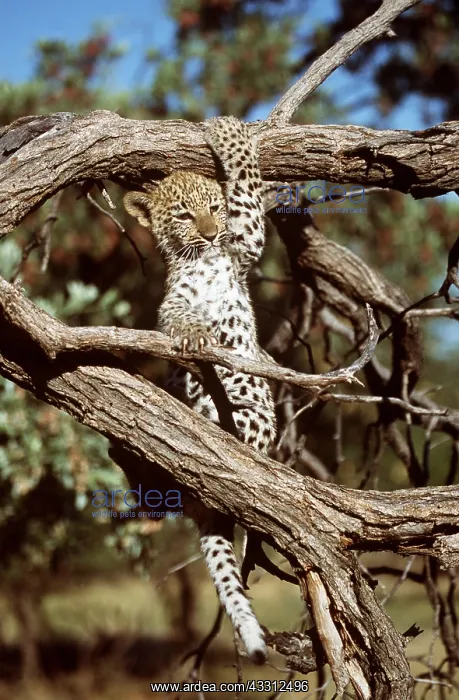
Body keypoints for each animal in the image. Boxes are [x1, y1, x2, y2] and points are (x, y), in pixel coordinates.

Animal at [124, 116, 276, 664]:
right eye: (185, 216)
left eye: (213, 207)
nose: (211, 235)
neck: (205, 261)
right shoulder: (172, 302)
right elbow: (178, 316)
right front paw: (195, 336)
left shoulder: (246, 241)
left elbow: (246, 184)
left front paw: (228, 130)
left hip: (251, 418)